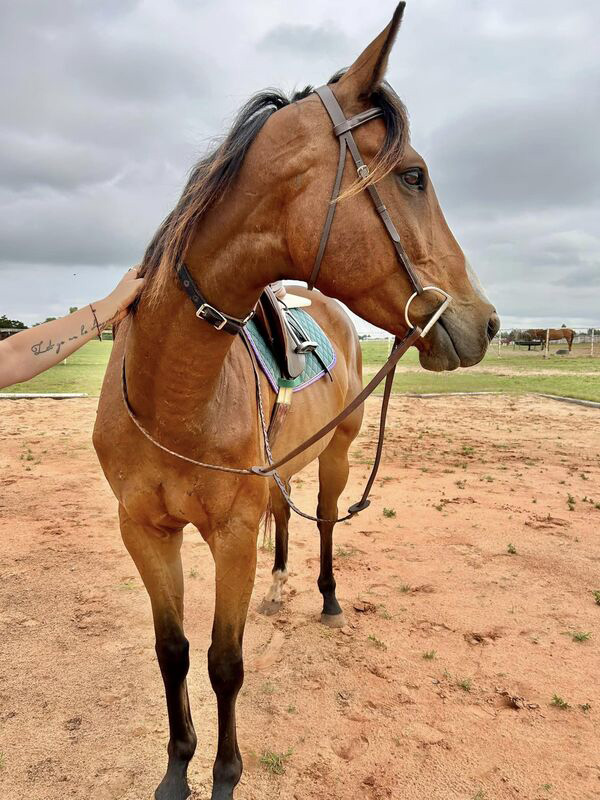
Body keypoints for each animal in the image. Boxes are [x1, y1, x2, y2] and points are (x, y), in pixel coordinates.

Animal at [92, 6, 496, 800]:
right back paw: (281, 587)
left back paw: (327, 597)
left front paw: (224, 774)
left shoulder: (230, 533)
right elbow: (172, 651)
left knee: (329, 520)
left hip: (337, 453)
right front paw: (177, 769)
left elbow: (224, 662)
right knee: (286, 514)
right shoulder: (144, 530)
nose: (486, 321)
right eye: (413, 175)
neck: (173, 391)